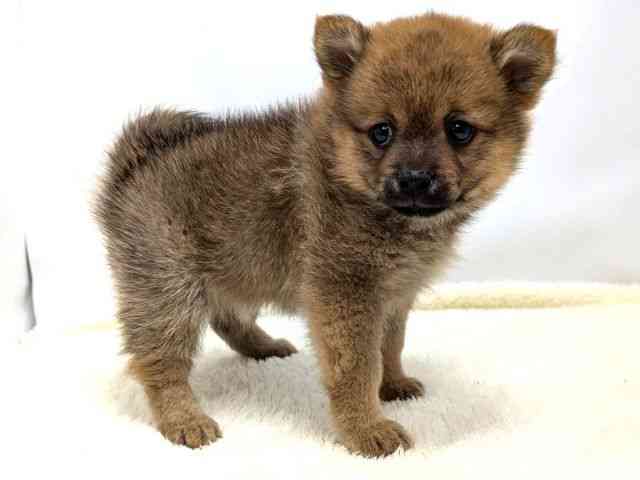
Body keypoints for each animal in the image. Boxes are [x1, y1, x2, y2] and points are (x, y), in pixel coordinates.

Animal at [94, 12, 556, 457]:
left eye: (459, 129)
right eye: (382, 131)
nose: (413, 178)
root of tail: (135, 164)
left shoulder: (393, 295)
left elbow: (390, 345)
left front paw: (393, 384)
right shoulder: (345, 290)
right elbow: (357, 366)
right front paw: (366, 429)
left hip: (231, 268)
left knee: (228, 317)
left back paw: (263, 348)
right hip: (166, 288)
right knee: (160, 362)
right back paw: (184, 420)